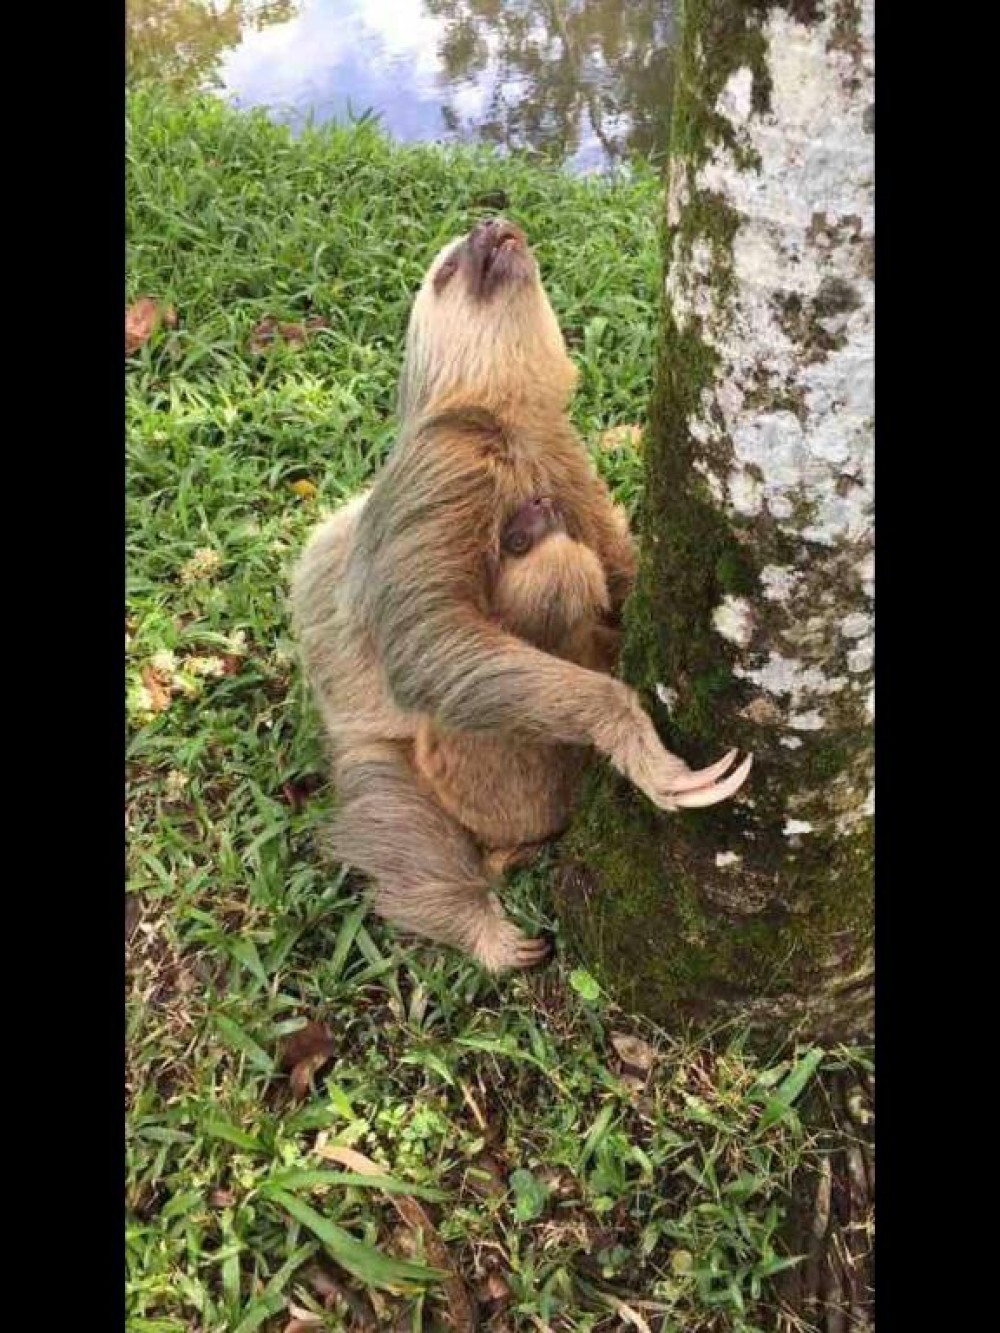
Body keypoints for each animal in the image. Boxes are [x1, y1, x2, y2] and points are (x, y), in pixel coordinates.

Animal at [290, 216, 752, 971]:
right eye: (450, 268)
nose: (489, 225)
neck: (507, 423)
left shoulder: (566, 458)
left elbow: (621, 568)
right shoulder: (441, 470)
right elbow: (427, 640)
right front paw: (634, 740)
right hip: (406, 759)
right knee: (395, 823)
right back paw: (487, 928)